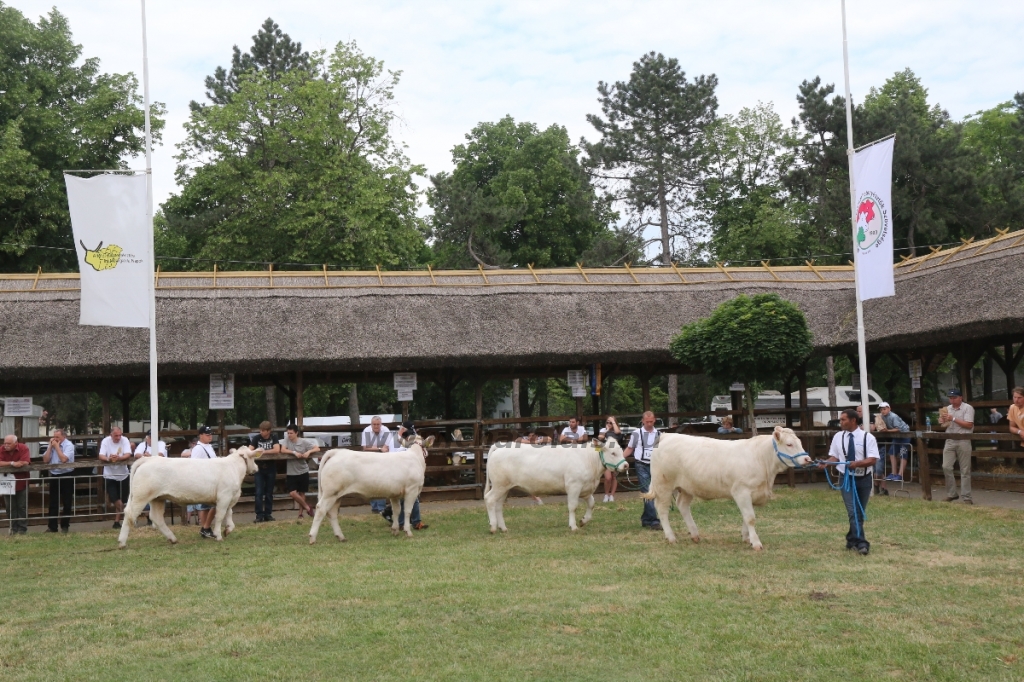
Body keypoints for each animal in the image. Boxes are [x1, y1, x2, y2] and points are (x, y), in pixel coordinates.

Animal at [117, 444, 260, 544]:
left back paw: (172, 539)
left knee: (156, 518)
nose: (257, 468)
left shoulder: (230, 496)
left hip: (157, 498)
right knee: (130, 514)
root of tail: (148, 460)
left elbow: (229, 513)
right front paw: (218, 535)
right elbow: (220, 516)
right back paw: (122, 542)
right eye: (254, 458)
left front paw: (228, 529)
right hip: (141, 496)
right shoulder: (224, 496)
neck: (233, 467)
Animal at [307, 436, 436, 540]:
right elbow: (407, 511)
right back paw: (312, 537)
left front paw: (395, 530)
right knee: (321, 509)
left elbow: (396, 511)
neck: (415, 457)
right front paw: (408, 531)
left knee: (332, 513)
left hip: (337, 495)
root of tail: (337, 452)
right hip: (330, 493)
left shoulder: (394, 494)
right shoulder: (412, 490)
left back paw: (341, 536)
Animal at [483, 436, 626, 532]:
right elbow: (572, 506)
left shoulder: (585, 488)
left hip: (504, 487)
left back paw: (503, 528)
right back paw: (493, 527)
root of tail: (500, 445)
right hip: (499, 485)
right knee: (489, 499)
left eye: (621, 450)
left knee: (498, 505)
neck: (589, 460)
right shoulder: (574, 486)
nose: (626, 465)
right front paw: (573, 526)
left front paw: (583, 521)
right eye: (613, 453)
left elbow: (591, 504)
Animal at [638, 425, 815, 548]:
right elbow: (750, 518)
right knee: (662, 509)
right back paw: (671, 537)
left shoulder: (752, 494)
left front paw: (747, 538)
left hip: (687, 486)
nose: (808, 459)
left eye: (799, 442)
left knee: (682, 505)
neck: (761, 459)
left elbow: (746, 517)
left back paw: (695, 534)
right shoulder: (741, 491)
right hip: (663, 484)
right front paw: (756, 543)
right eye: (789, 444)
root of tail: (667, 436)